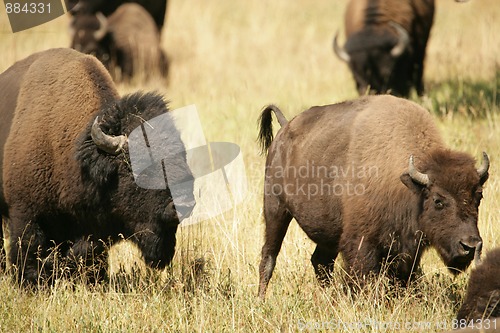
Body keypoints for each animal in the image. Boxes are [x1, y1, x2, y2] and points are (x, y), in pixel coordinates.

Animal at [258, 94, 488, 296]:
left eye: (479, 197)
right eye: (438, 200)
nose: (470, 246)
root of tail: (285, 128)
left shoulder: (407, 249)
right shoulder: (361, 242)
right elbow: (366, 279)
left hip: (328, 232)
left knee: (321, 262)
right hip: (275, 209)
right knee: (269, 257)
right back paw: (261, 298)